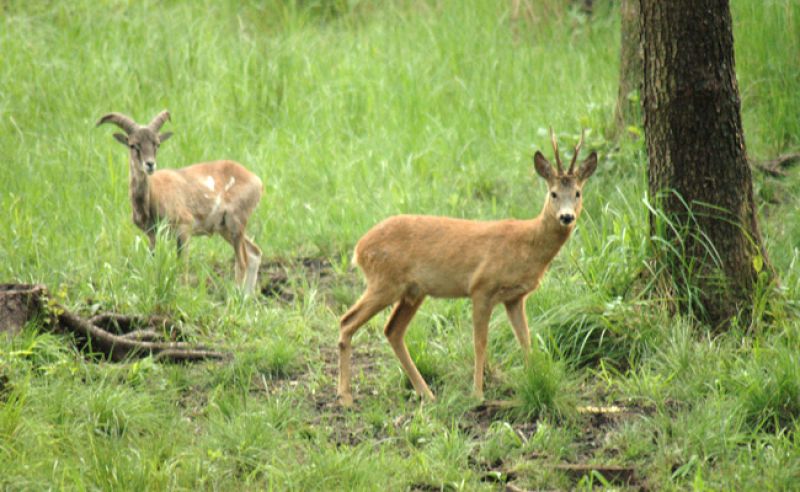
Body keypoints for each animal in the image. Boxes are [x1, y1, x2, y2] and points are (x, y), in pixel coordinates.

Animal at [97, 111, 264, 294]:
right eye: (133, 145)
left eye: (157, 144)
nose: (150, 164)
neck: (155, 194)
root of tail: (256, 181)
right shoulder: (153, 235)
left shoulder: (184, 229)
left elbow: (182, 266)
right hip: (225, 229)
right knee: (255, 253)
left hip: (236, 224)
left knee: (242, 262)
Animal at [334, 129, 596, 406]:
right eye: (553, 193)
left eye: (578, 193)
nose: (566, 217)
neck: (527, 244)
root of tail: (359, 248)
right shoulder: (482, 287)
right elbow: (480, 342)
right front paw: (478, 394)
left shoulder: (514, 297)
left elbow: (525, 339)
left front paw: (533, 378)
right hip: (384, 282)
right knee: (347, 321)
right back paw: (346, 396)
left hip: (413, 292)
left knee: (392, 331)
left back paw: (426, 394)